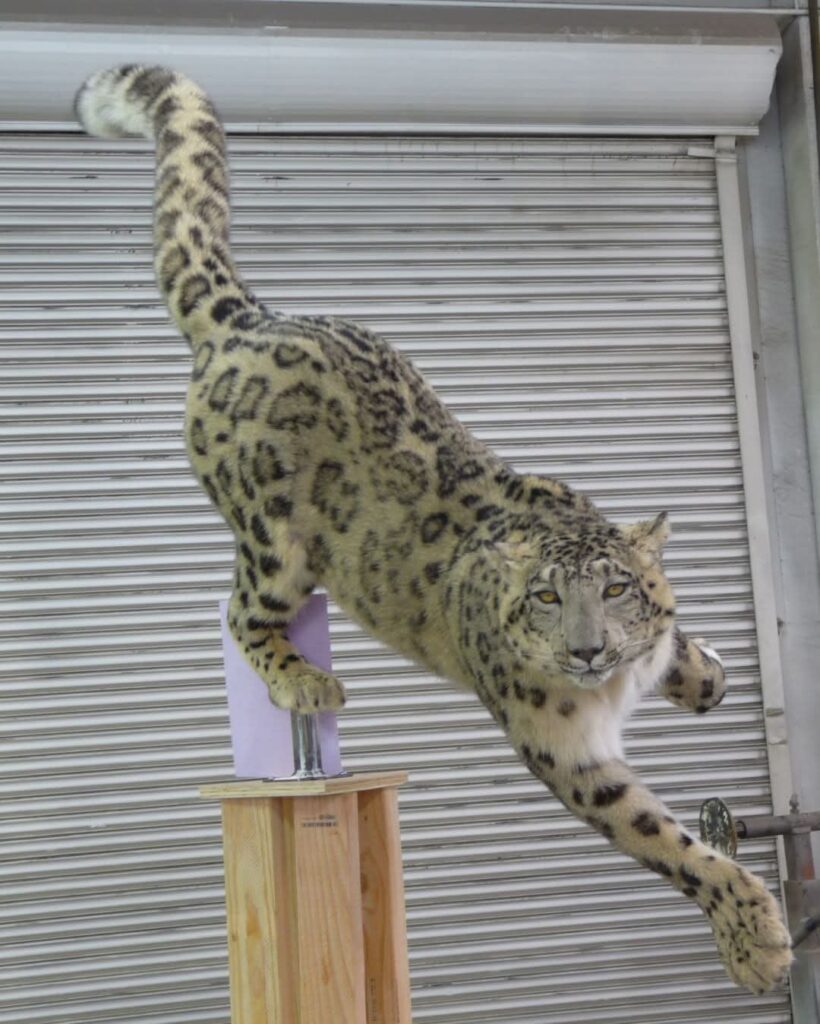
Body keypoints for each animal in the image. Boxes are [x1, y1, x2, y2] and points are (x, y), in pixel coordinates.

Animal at [75, 65, 792, 994]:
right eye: (547, 598)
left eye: (618, 588)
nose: (587, 649)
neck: (609, 691)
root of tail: (250, 321)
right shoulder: (565, 749)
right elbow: (665, 841)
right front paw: (756, 943)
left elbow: (675, 650)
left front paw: (705, 674)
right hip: (275, 545)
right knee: (239, 611)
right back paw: (307, 682)